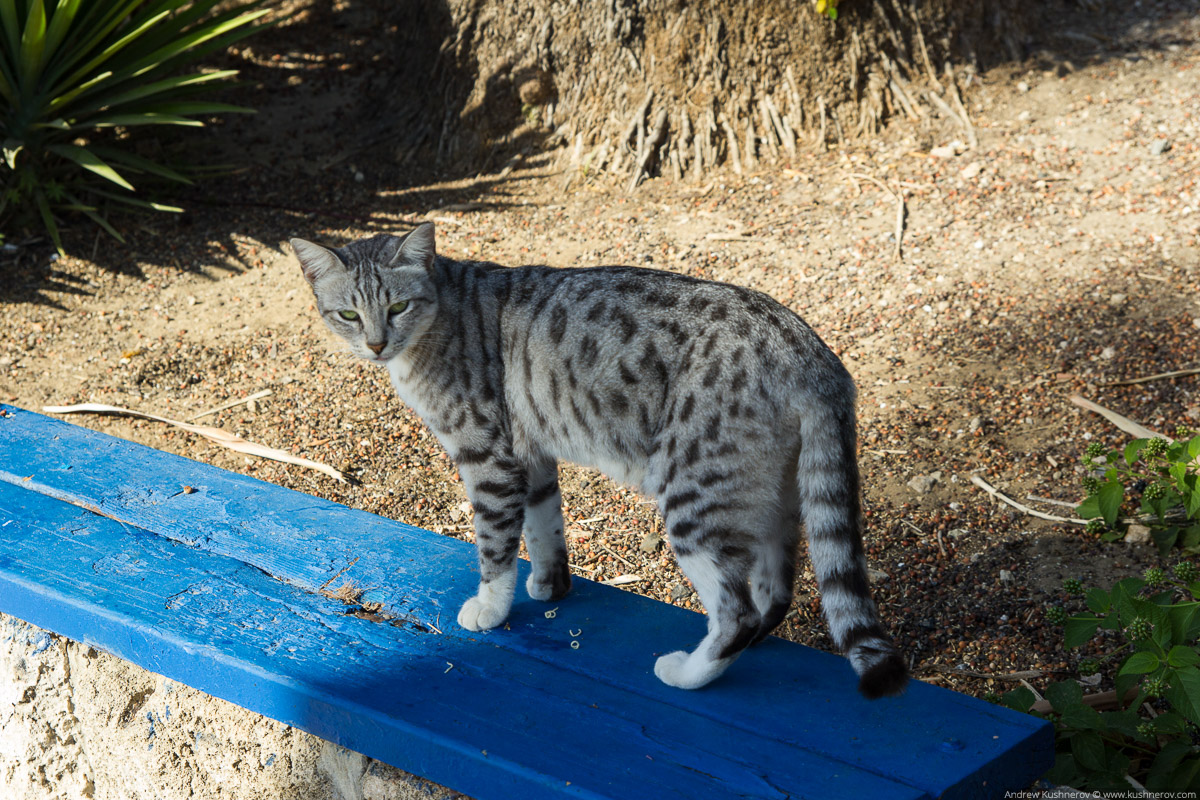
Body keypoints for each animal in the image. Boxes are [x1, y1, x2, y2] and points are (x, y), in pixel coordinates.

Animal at [292, 221, 907, 695]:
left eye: (398, 306)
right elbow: (544, 529)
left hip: (693, 497)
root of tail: (811, 352)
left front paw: (490, 609)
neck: (444, 310)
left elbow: (494, 546)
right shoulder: (532, 456)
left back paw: (688, 672)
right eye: (348, 314)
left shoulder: (489, 459)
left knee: (739, 611)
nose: (375, 345)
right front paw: (550, 585)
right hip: (770, 495)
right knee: (777, 590)